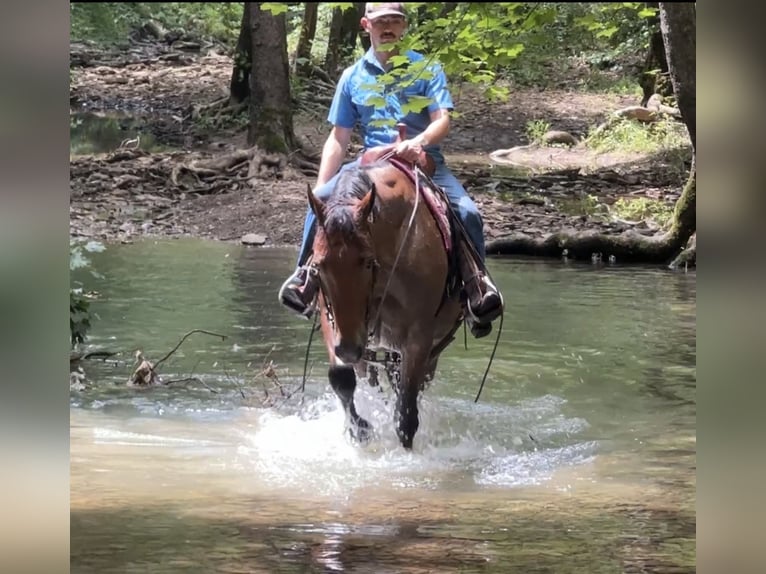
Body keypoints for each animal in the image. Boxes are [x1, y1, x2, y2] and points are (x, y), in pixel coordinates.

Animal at [306, 157, 464, 450]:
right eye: (319, 265)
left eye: (368, 262)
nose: (348, 349)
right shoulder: (332, 319)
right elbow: (342, 379)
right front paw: (360, 430)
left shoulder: (419, 337)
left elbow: (406, 414)